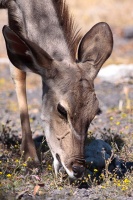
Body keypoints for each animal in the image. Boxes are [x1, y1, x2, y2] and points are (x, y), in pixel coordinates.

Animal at [0, 0, 113, 178]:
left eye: (95, 111)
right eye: (62, 109)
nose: (77, 169)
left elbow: (18, 70)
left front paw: (29, 157)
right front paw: (30, 159)